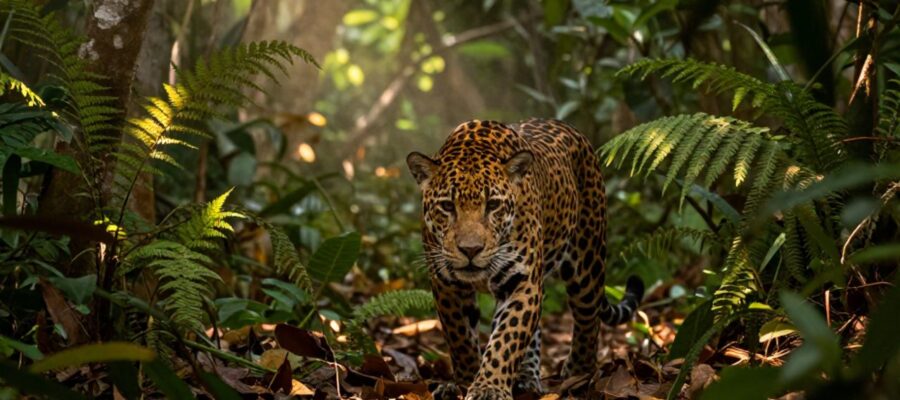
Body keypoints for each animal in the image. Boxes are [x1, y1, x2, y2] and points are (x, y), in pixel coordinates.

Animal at [406, 119, 644, 400]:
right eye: (447, 206)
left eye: (493, 205)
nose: (470, 250)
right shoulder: (446, 284)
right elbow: (461, 340)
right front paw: (464, 382)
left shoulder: (522, 281)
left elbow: (507, 338)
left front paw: (489, 387)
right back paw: (527, 378)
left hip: (588, 262)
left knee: (588, 318)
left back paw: (579, 373)